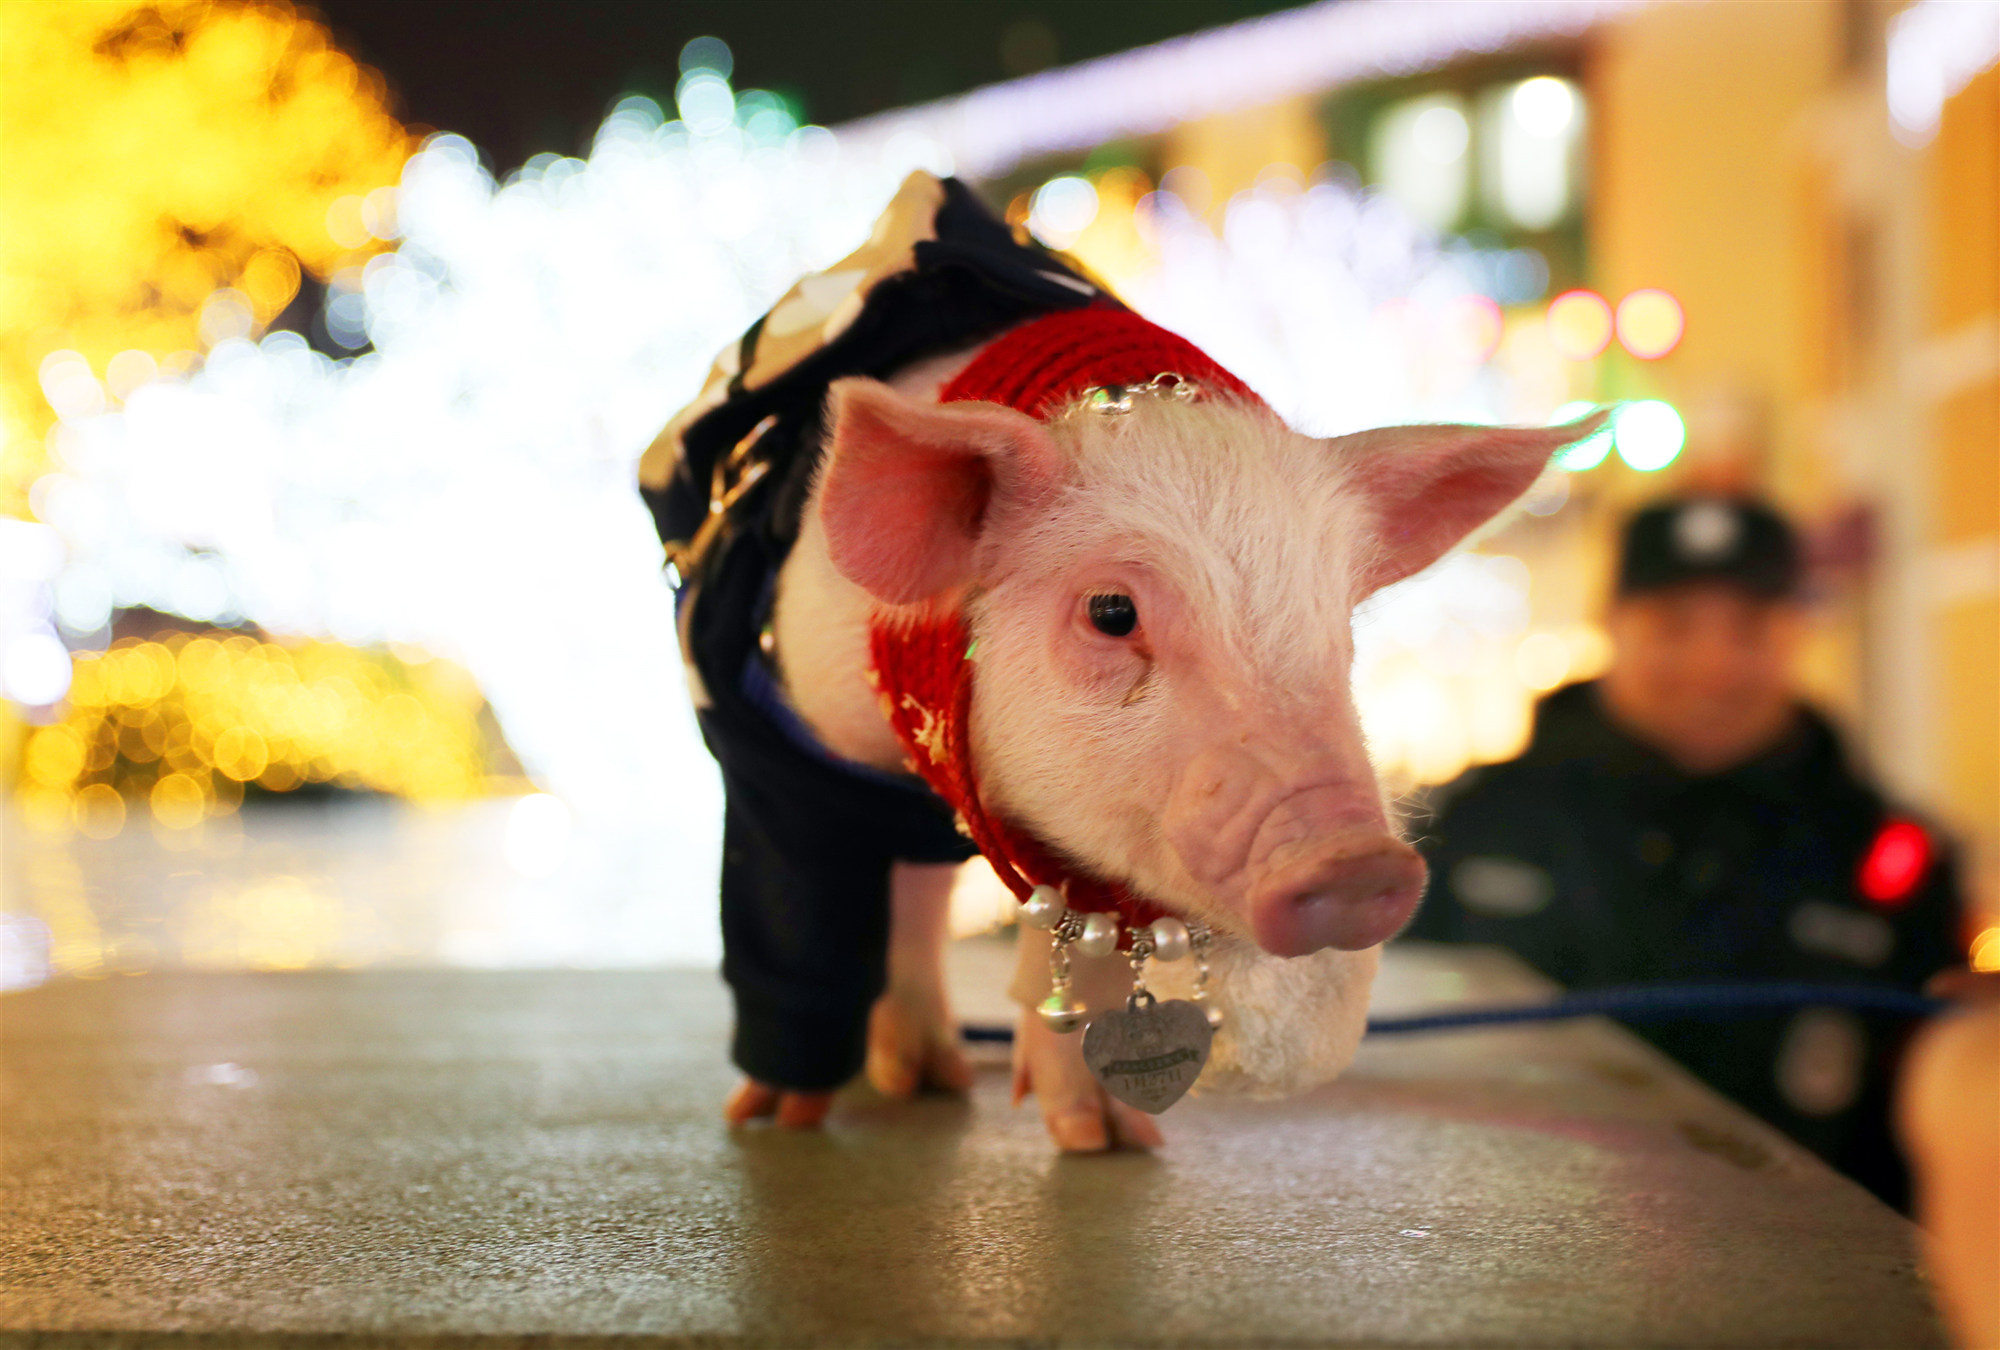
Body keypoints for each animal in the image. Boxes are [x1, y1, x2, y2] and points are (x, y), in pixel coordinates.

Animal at [728, 332, 1600, 1144]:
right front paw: (777, 1122)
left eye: (1340, 622)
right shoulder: (784, 753)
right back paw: (908, 1083)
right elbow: (796, 917)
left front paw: (1108, 1143)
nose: (1361, 863)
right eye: (1112, 611)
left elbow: (1081, 953)